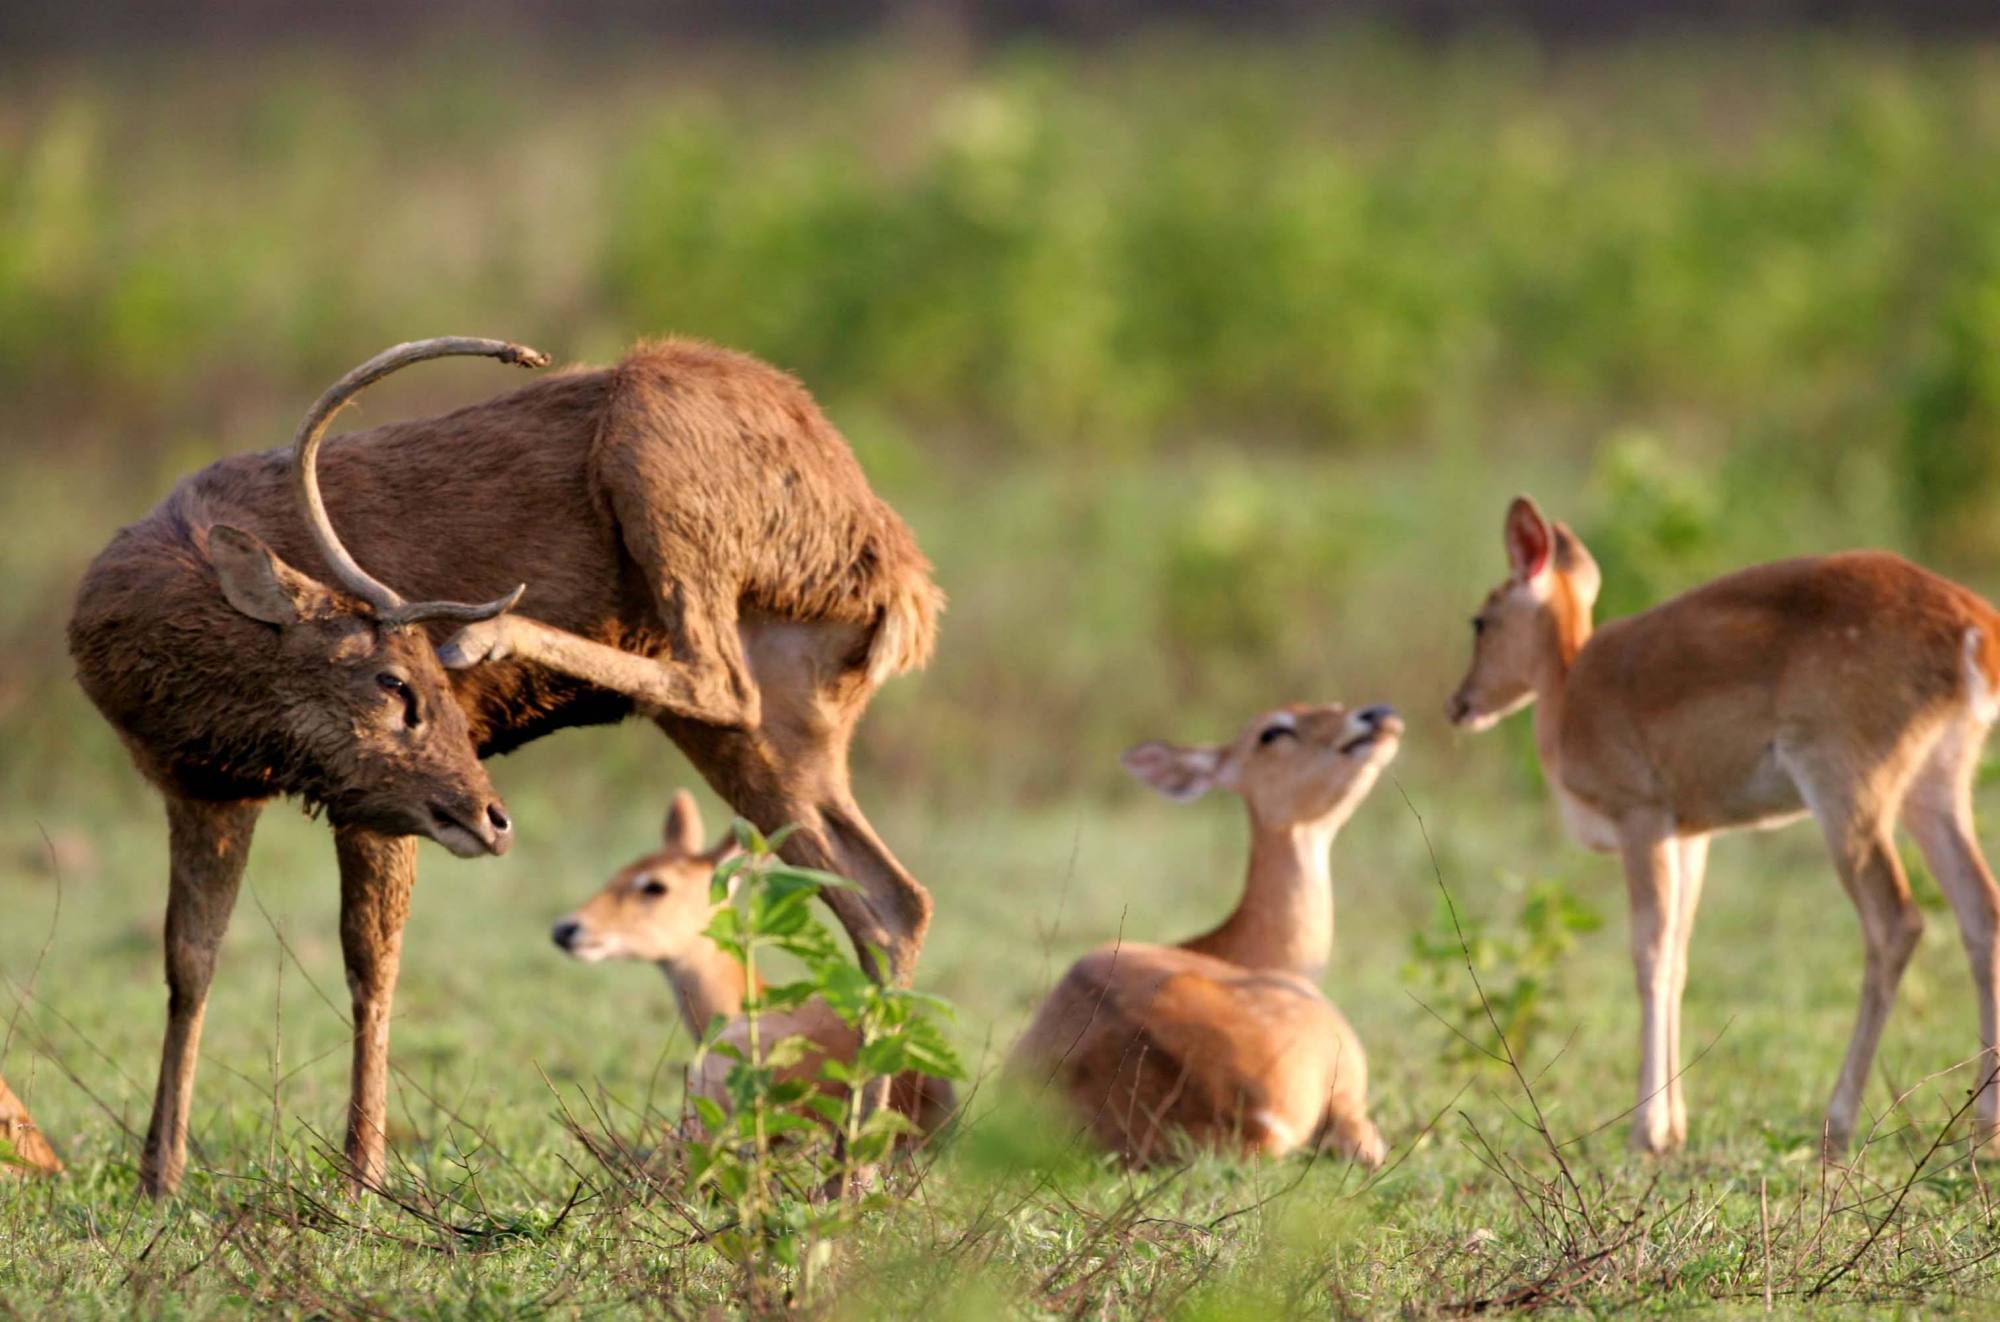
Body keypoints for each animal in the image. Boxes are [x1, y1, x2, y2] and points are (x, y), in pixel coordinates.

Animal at [1448, 496, 2000, 1152]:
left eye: (1481, 619)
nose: (1460, 704)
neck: (1570, 690)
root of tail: (1975, 628)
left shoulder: (1642, 819)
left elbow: (1648, 952)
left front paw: (1647, 1132)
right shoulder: (1691, 835)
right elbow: (1679, 955)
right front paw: (1674, 1127)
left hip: (1846, 792)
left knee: (1896, 921)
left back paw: (1837, 1123)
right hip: (1935, 789)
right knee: (1981, 909)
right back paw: (1985, 1122)